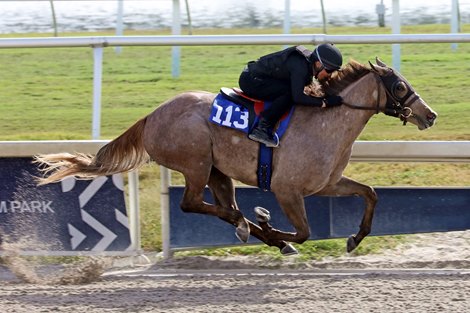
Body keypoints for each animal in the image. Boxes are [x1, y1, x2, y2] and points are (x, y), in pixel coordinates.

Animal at [35, 58, 436, 254]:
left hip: (217, 170)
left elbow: (370, 193)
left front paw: (355, 238)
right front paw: (273, 228)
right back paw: (254, 226)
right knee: (192, 204)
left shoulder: (326, 184)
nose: (429, 115)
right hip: (196, 164)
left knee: (222, 205)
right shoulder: (287, 190)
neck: (327, 122)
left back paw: (250, 225)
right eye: (400, 86)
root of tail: (152, 115)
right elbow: (304, 232)